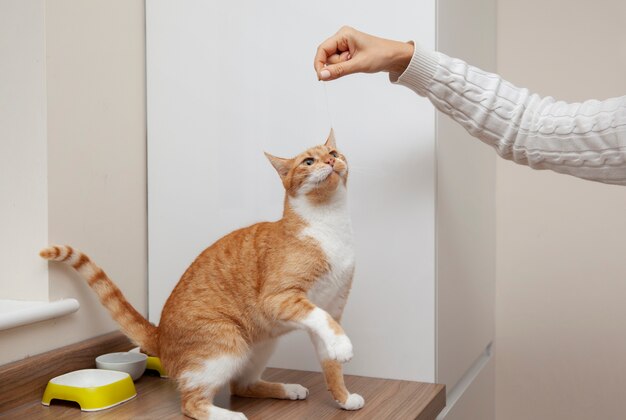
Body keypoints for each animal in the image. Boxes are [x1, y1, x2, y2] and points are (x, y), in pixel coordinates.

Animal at [40, 131, 360, 420]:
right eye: (308, 161)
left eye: (333, 153)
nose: (330, 160)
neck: (329, 226)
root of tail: (158, 335)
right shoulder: (280, 298)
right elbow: (323, 321)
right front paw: (344, 346)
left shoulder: (333, 305)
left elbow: (331, 361)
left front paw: (343, 398)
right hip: (226, 343)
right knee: (192, 403)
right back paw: (231, 416)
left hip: (260, 346)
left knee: (241, 385)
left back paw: (287, 389)